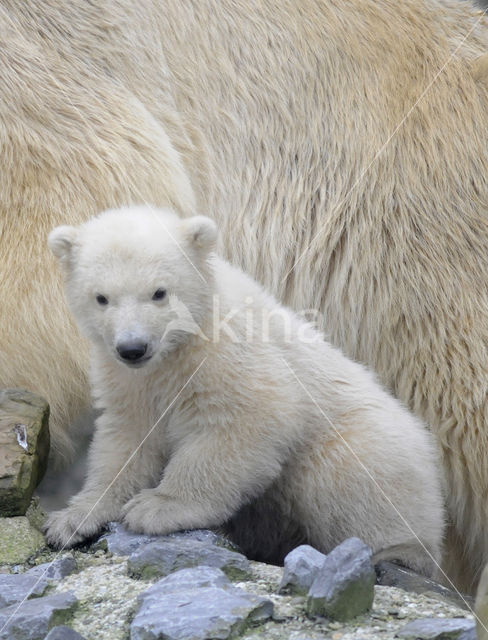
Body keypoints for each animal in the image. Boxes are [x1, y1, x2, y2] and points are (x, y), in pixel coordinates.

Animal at [0, 0, 488, 592]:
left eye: (159, 293)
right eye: (101, 299)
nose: (133, 348)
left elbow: (250, 420)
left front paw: (158, 507)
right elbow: (125, 439)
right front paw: (75, 517)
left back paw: (397, 557)